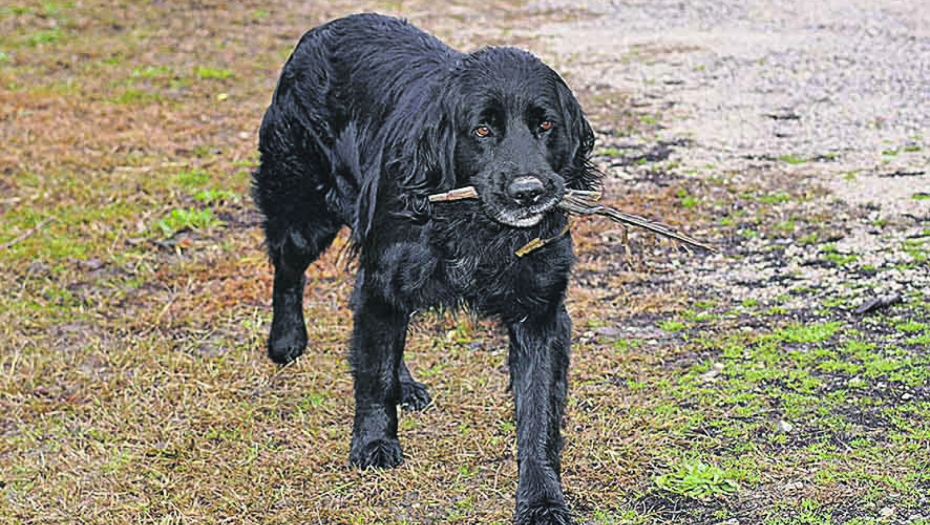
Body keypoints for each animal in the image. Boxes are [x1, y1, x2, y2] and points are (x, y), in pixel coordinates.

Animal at [250, 13, 596, 524]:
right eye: (482, 130)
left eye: (546, 124)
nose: (530, 192)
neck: (470, 219)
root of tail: (320, 31)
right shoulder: (380, 282)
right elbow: (372, 374)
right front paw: (374, 443)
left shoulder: (540, 312)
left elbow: (539, 416)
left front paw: (542, 499)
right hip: (302, 206)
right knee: (288, 269)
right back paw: (287, 340)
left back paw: (406, 383)